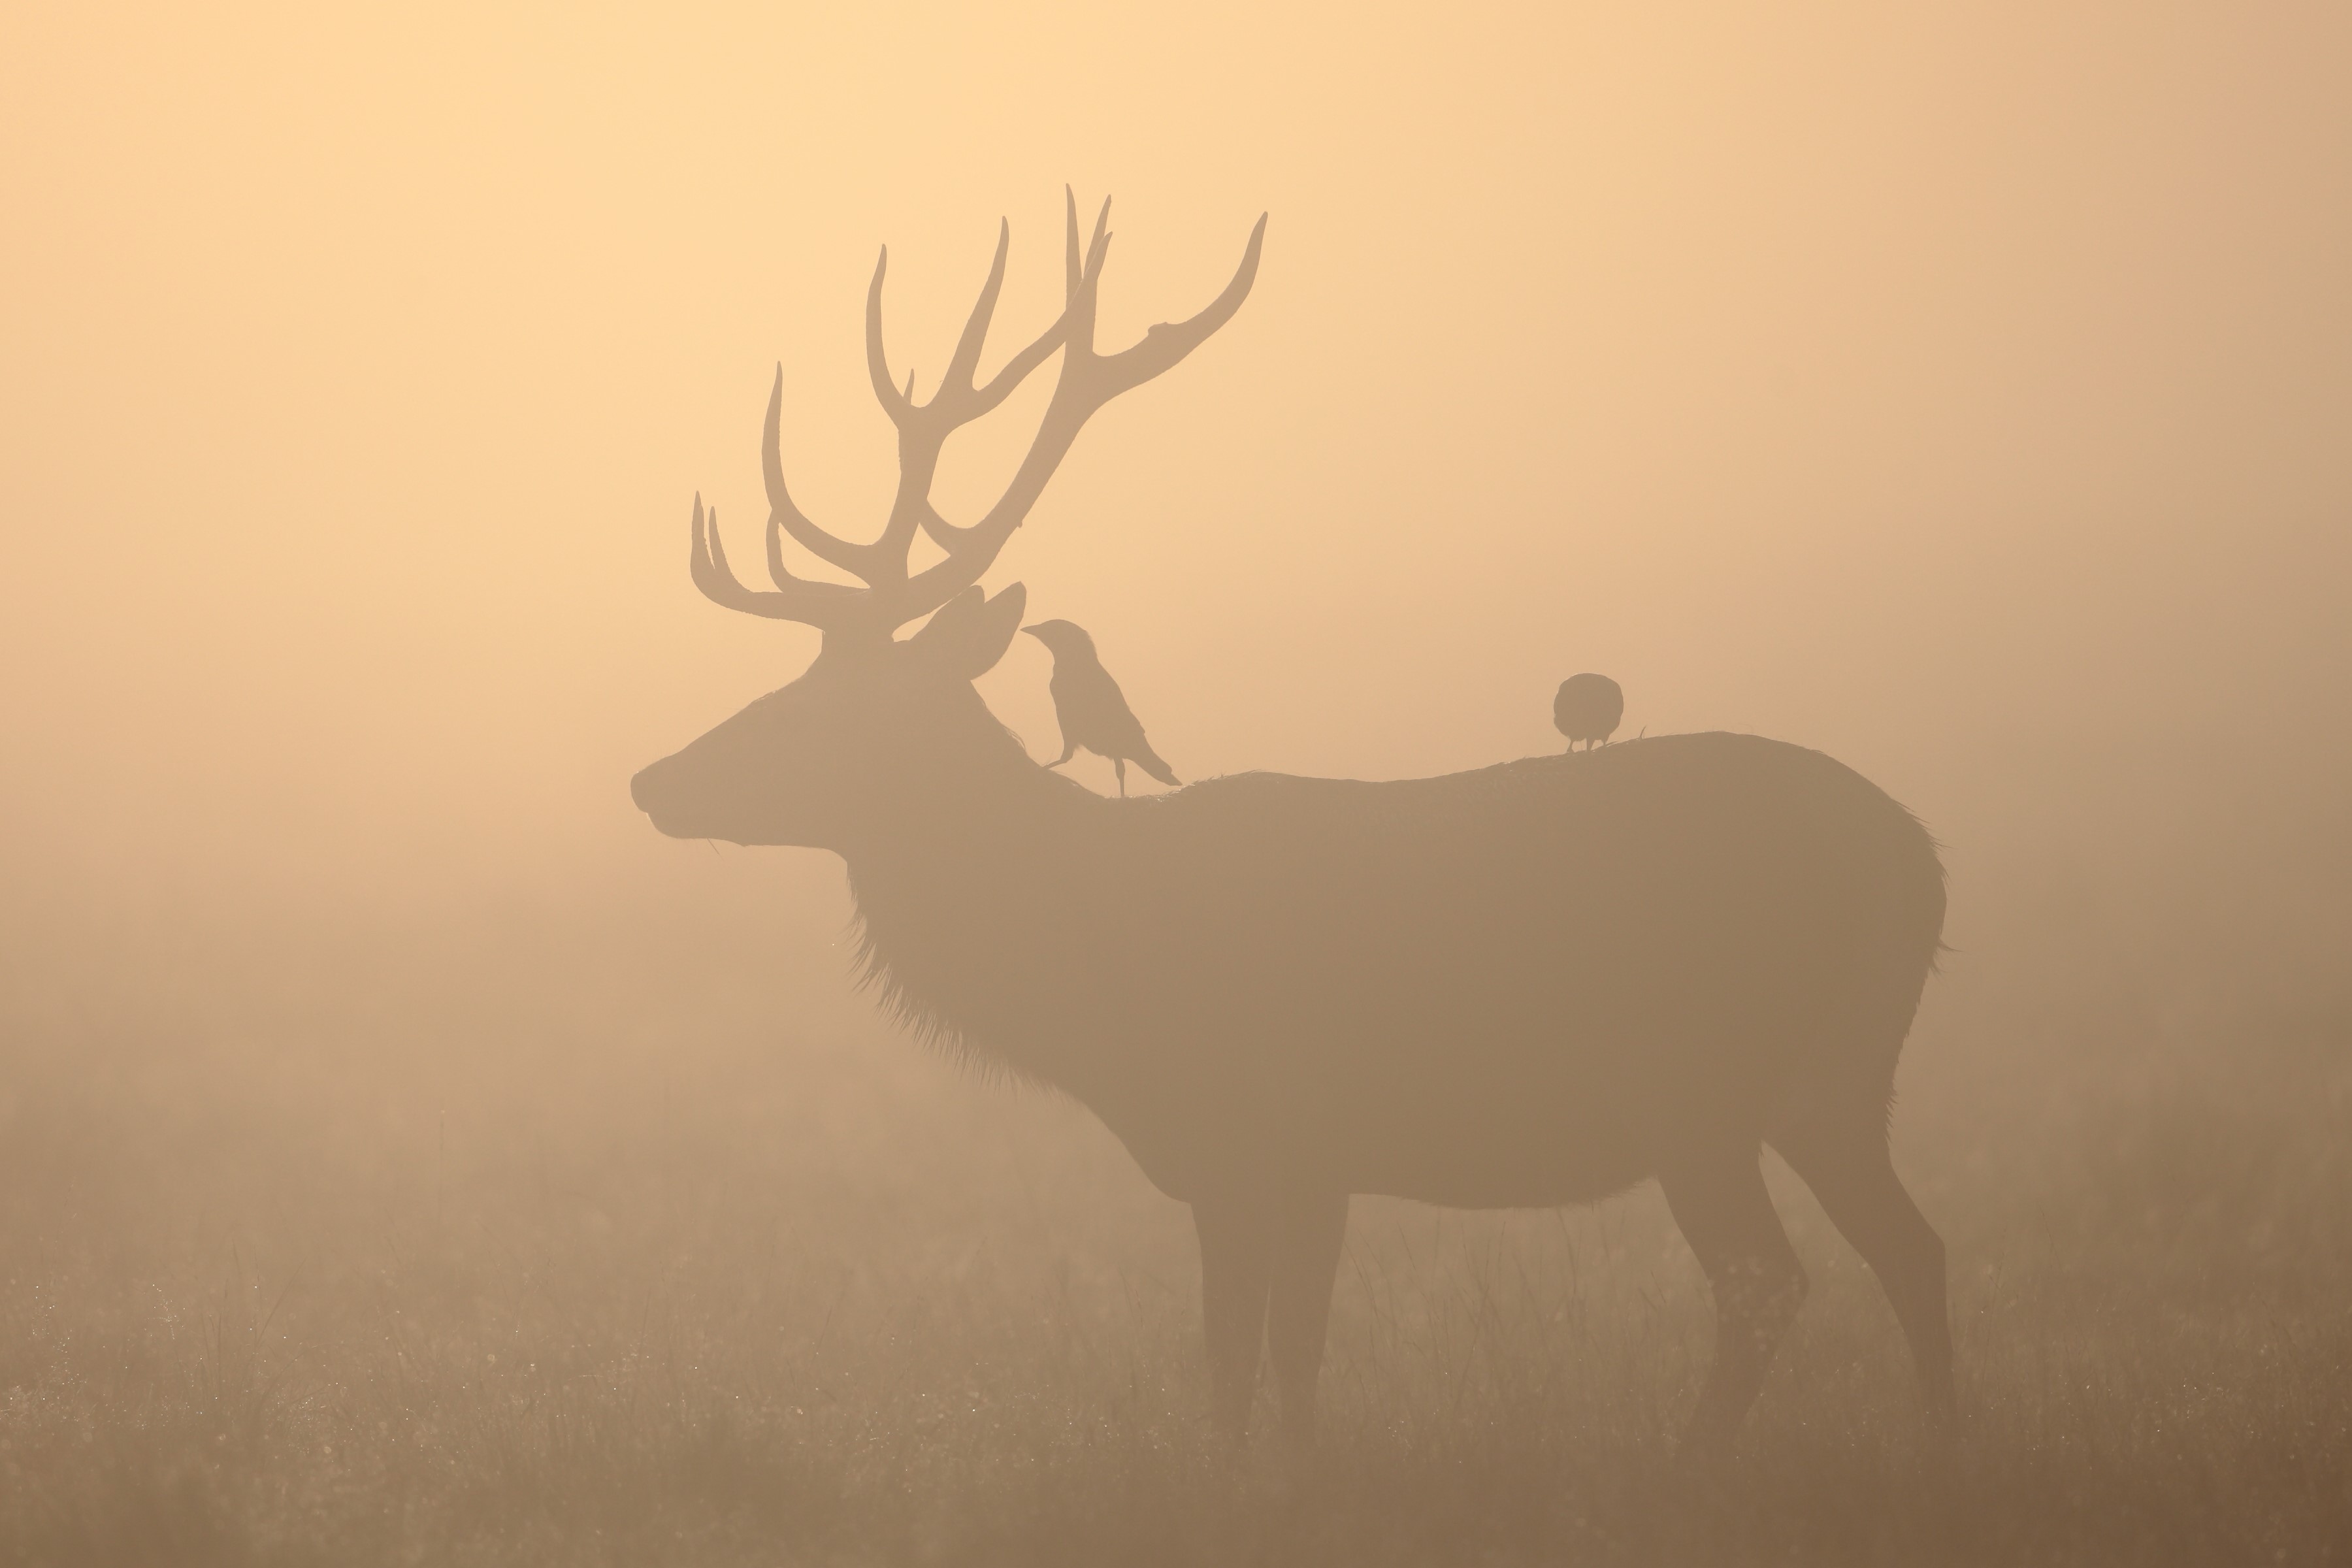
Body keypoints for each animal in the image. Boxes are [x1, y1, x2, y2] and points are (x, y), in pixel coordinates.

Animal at [630, 192, 1955, 1458]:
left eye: (819, 710)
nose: (652, 780)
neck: (1095, 995)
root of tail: (1917, 860)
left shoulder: (1247, 1134)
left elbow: (1231, 1367)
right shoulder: (1319, 1165)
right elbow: (1298, 1366)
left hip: (1703, 1080)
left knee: (1769, 1281)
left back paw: (1696, 1464)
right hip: (1840, 1079)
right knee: (1916, 1248)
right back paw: (1937, 1446)